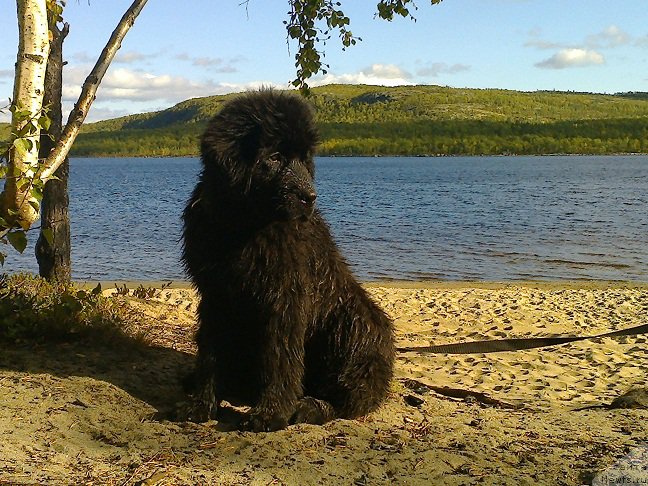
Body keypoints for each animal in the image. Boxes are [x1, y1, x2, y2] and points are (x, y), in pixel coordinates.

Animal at [181, 89, 394, 430]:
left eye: (304, 158)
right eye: (276, 157)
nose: (310, 197)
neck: (242, 226)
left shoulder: (285, 296)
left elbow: (281, 357)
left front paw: (272, 412)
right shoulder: (215, 293)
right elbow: (211, 351)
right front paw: (201, 403)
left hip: (356, 326)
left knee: (348, 394)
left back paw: (310, 407)